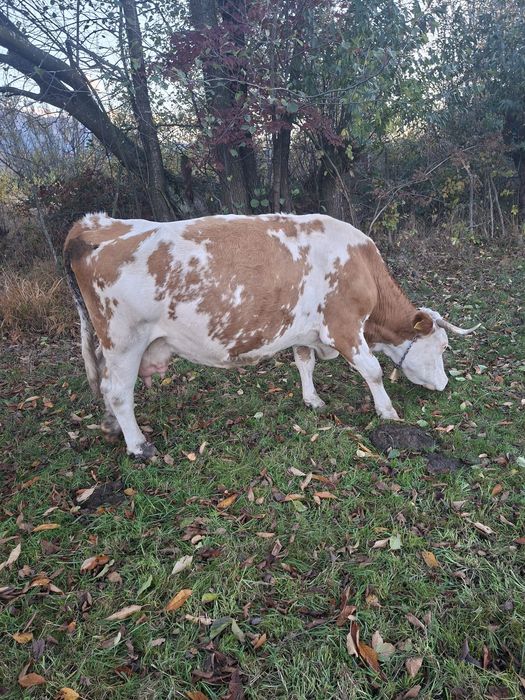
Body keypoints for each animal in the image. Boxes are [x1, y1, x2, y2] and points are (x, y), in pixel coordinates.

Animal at [64, 212, 479, 459]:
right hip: (123, 341)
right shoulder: (344, 326)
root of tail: (93, 223)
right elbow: (373, 371)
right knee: (119, 391)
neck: (361, 267)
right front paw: (388, 413)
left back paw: (112, 427)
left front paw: (313, 400)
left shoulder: (306, 330)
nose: (444, 385)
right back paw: (137, 445)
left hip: (110, 344)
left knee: (106, 387)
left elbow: (304, 362)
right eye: (443, 346)